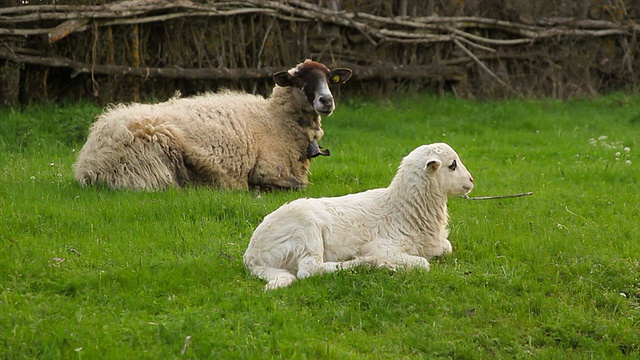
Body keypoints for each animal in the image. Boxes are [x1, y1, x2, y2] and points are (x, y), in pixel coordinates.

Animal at [75, 59, 356, 191]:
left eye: (329, 78)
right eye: (299, 80)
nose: (326, 100)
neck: (275, 120)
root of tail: (88, 163)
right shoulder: (266, 169)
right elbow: (301, 186)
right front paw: (256, 189)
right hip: (152, 162)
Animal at [245, 143, 476, 290]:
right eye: (452, 165)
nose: (472, 180)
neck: (402, 209)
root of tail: (252, 257)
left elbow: (447, 247)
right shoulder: (383, 246)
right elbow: (422, 264)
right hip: (305, 231)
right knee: (310, 270)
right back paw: (370, 263)